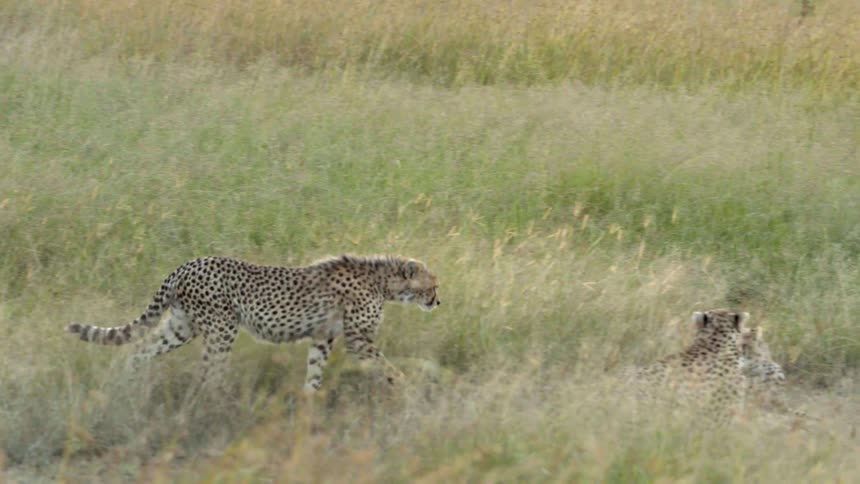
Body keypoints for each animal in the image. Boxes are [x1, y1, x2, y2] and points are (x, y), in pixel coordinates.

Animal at [66, 255, 441, 393]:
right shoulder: (358, 340)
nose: (439, 301)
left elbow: (314, 371)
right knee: (209, 373)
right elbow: (386, 364)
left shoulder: (323, 337)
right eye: (433, 284)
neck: (384, 280)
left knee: (140, 351)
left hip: (181, 327)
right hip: (221, 328)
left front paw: (307, 404)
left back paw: (125, 381)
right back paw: (217, 406)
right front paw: (408, 385)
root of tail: (187, 264)